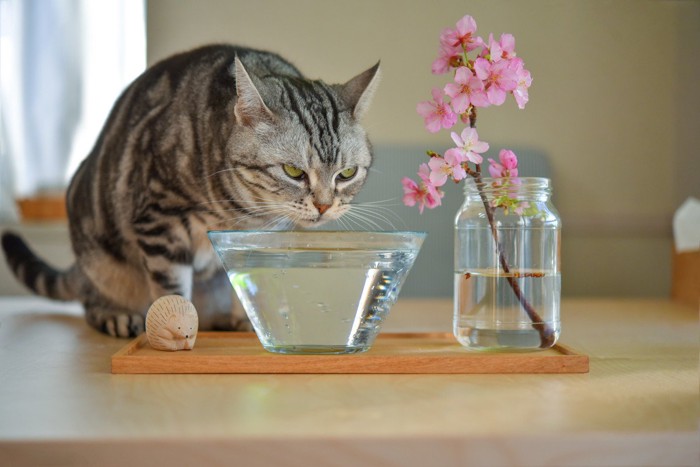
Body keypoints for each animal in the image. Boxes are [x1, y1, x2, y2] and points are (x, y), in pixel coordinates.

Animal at [1, 44, 382, 338]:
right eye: (293, 171)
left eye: (347, 173)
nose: (324, 206)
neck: (241, 213)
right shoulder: (159, 220)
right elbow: (172, 289)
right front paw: (177, 329)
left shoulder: (259, 240)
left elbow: (250, 282)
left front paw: (249, 321)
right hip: (100, 260)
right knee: (90, 300)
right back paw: (116, 315)